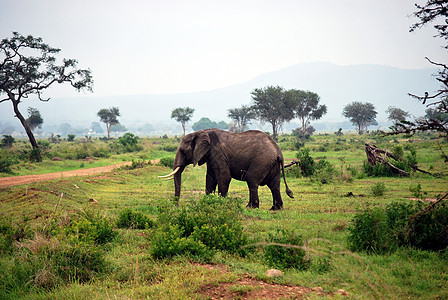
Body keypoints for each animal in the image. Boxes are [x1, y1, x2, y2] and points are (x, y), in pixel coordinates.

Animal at [158, 127, 294, 210]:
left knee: (252, 180)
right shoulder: (211, 157)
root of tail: (279, 151)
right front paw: (208, 203)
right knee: (274, 185)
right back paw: (275, 209)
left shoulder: (218, 154)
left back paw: (250, 207)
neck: (201, 132)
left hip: (262, 161)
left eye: (183, 150)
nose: (176, 206)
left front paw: (220, 204)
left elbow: (224, 177)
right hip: (272, 164)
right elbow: (210, 179)